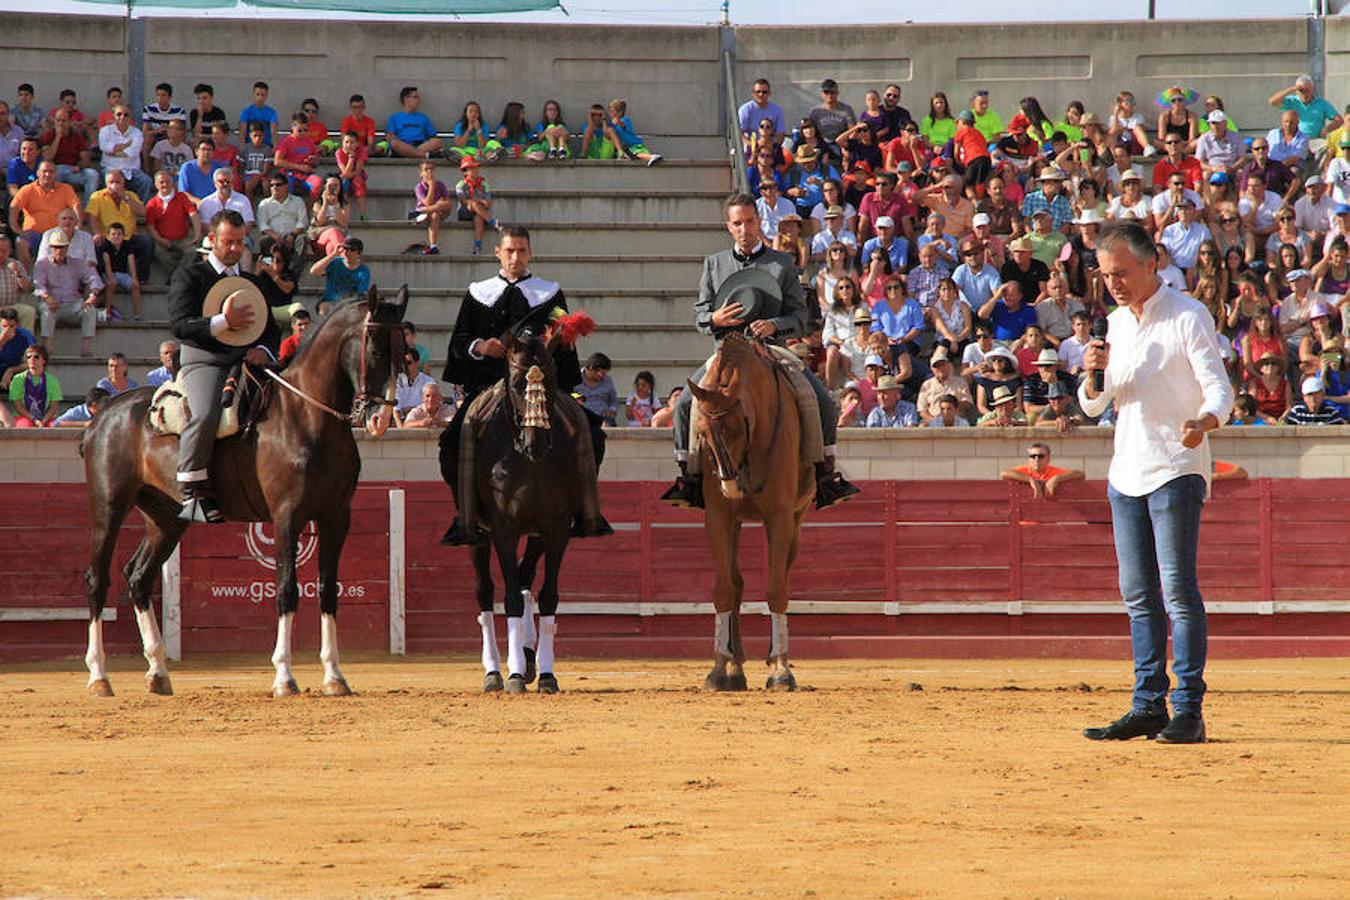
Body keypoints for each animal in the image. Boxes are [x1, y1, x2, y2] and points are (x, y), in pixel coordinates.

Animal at [77, 288, 405, 696]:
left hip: (166, 518)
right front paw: (284, 677)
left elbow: (329, 590)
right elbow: (287, 589)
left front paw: (335, 676)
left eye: (405, 349)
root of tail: (104, 415)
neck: (306, 415)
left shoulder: (336, 517)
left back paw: (158, 672)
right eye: (374, 347)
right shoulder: (287, 516)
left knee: (138, 576)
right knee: (97, 578)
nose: (380, 418)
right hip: (108, 506)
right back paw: (99, 676)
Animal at [464, 313, 602, 696]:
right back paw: (494, 672)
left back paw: (526, 658)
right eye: (514, 384)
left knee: (526, 578)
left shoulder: (556, 529)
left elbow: (548, 595)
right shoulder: (503, 529)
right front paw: (511, 676)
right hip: (478, 535)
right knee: (485, 591)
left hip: (537, 533)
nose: (535, 444)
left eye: (551, 380)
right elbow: (508, 597)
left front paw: (546, 674)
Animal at [685, 334, 810, 696]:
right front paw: (718, 668)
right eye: (701, 432)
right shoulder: (718, 517)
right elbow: (724, 589)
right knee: (737, 583)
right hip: (736, 522)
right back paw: (735, 667)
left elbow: (776, 589)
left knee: (781, 576)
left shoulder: (780, 517)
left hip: (796, 519)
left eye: (737, 428)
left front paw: (781, 671)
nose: (730, 488)